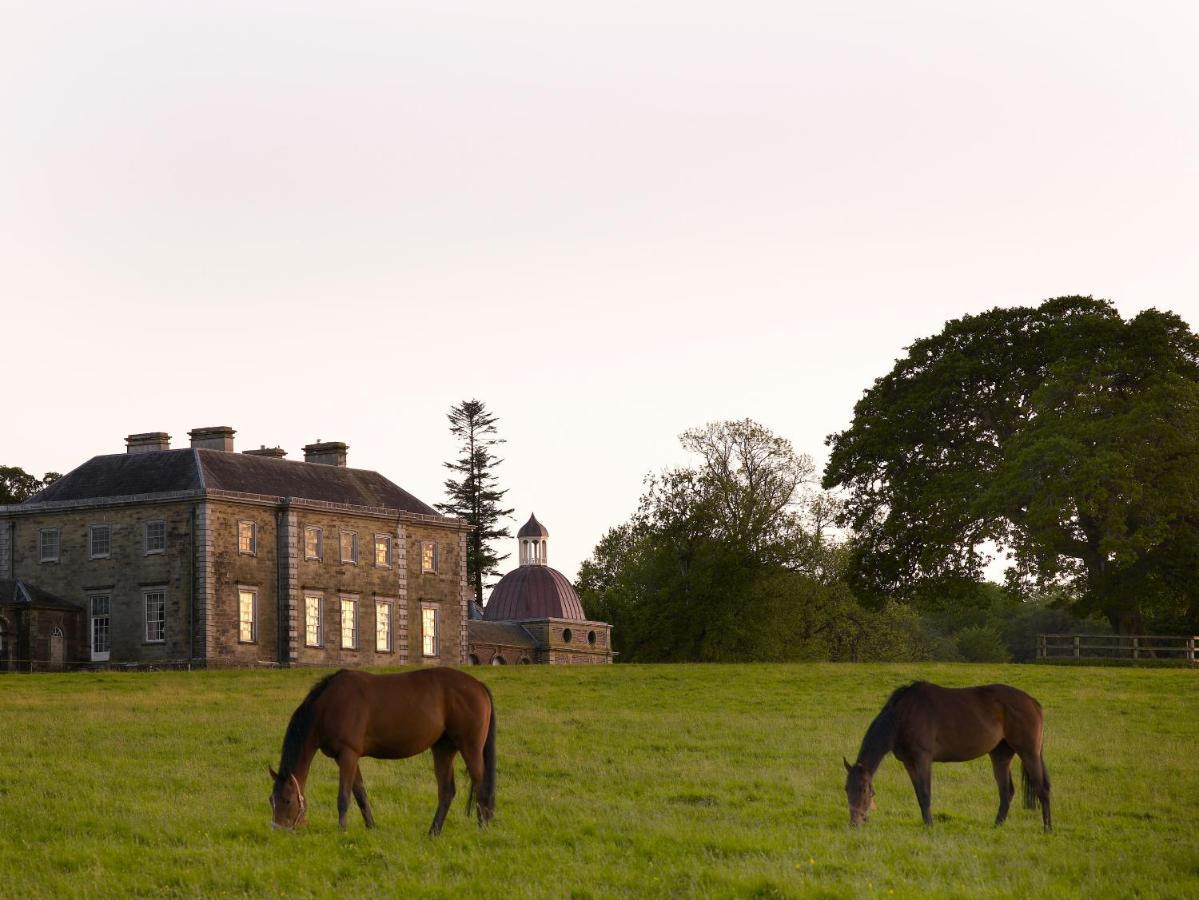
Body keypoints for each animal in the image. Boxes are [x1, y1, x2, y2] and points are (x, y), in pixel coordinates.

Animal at [268, 671, 496, 838]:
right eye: (271, 800)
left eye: (287, 800)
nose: (278, 831)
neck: (330, 705)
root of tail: (478, 685)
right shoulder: (348, 758)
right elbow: (360, 794)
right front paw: (371, 827)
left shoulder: (348, 754)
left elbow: (344, 797)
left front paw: (342, 832)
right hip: (443, 748)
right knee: (447, 791)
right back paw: (433, 832)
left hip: (470, 747)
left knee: (481, 784)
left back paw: (482, 828)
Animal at [844, 680, 1050, 829]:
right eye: (846, 789)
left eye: (864, 790)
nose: (854, 823)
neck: (903, 715)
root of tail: (1033, 702)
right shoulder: (909, 762)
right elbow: (918, 794)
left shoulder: (923, 758)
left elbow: (925, 793)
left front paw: (930, 826)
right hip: (1000, 755)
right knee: (1006, 792)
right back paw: (997, 826)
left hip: (1029, 753)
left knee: (1042, 789)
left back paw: (1048, 828)